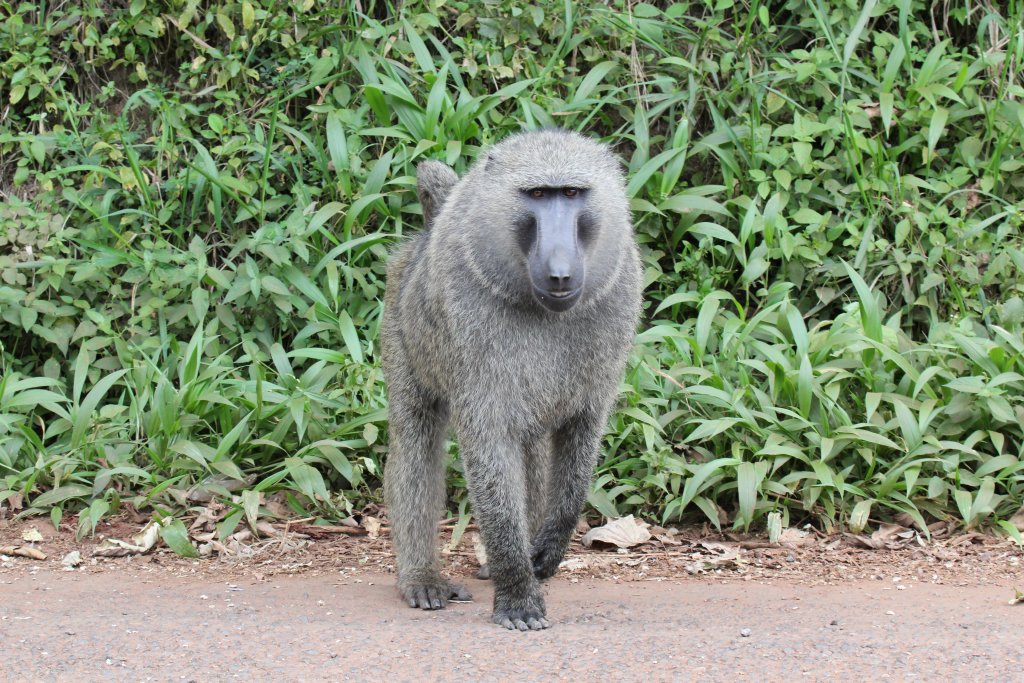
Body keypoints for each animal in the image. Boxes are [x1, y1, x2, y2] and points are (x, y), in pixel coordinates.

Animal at [381, 129, 642, 631]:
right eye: (537, 195)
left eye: (572, 193)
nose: (560, 273)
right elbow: (488, 445)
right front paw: (518, 593)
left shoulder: (616, 301)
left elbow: (582, 430)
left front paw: (547, 549)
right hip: (401, 325)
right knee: (416, 439)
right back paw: (422, 578)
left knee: (534, 449)